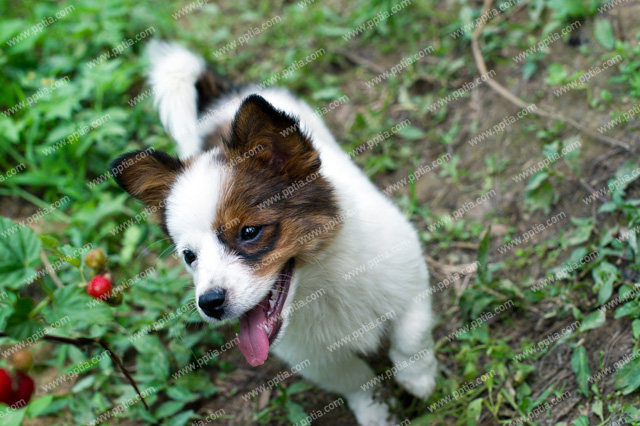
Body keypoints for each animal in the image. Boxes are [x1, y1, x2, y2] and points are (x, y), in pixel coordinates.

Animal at [112, 40, 438, 426]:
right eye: (189, 256)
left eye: (249, 232)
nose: (209, 303)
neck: (322, 284)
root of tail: (224, 97)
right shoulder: (318, 359)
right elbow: (355, 380)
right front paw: (374, 412)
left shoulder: (408, 276)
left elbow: (411, 336)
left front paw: (417, 378)